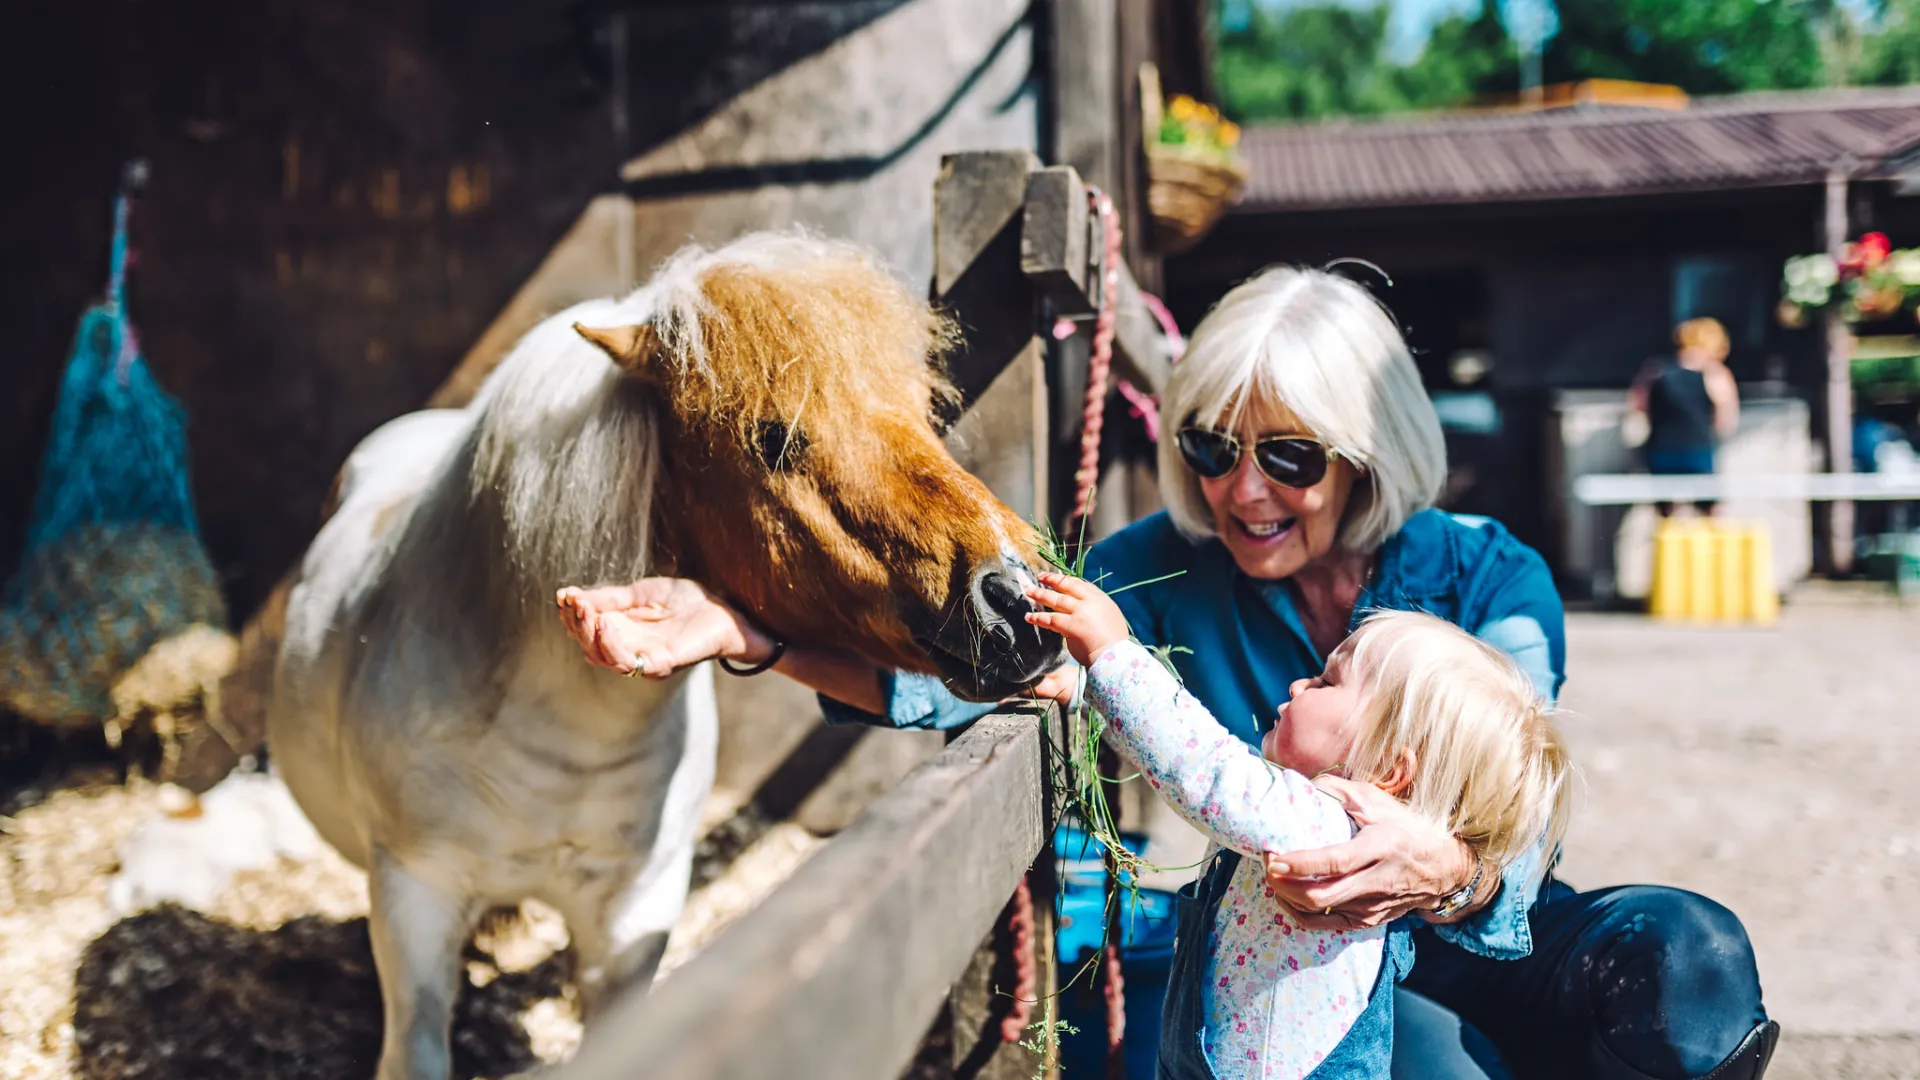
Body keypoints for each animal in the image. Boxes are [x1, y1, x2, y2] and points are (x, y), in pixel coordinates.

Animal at [267, 231, 1065, 1080]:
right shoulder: (416, 897)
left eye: (919, 412)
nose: (1019, 597)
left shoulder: (634, 912)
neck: (552, 729)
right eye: (772, 437)